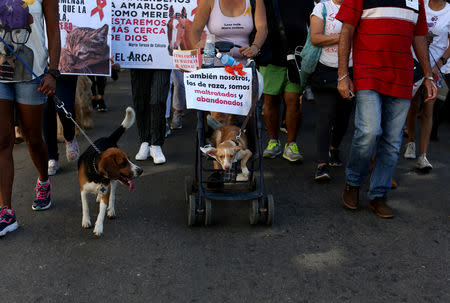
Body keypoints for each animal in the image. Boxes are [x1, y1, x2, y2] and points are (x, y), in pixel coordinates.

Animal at [76, 107, 142, 238]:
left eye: (129, 159)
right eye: (123, 163)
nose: (140, 171)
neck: (96, 174)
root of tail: (109, 138)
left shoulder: (105, 192)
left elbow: (101, 212)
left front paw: (98, 227)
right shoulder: (83, 190)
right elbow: (85, 207)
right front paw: (86, 221)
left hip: (115, 182)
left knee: (112, 196)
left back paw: (111, 210)